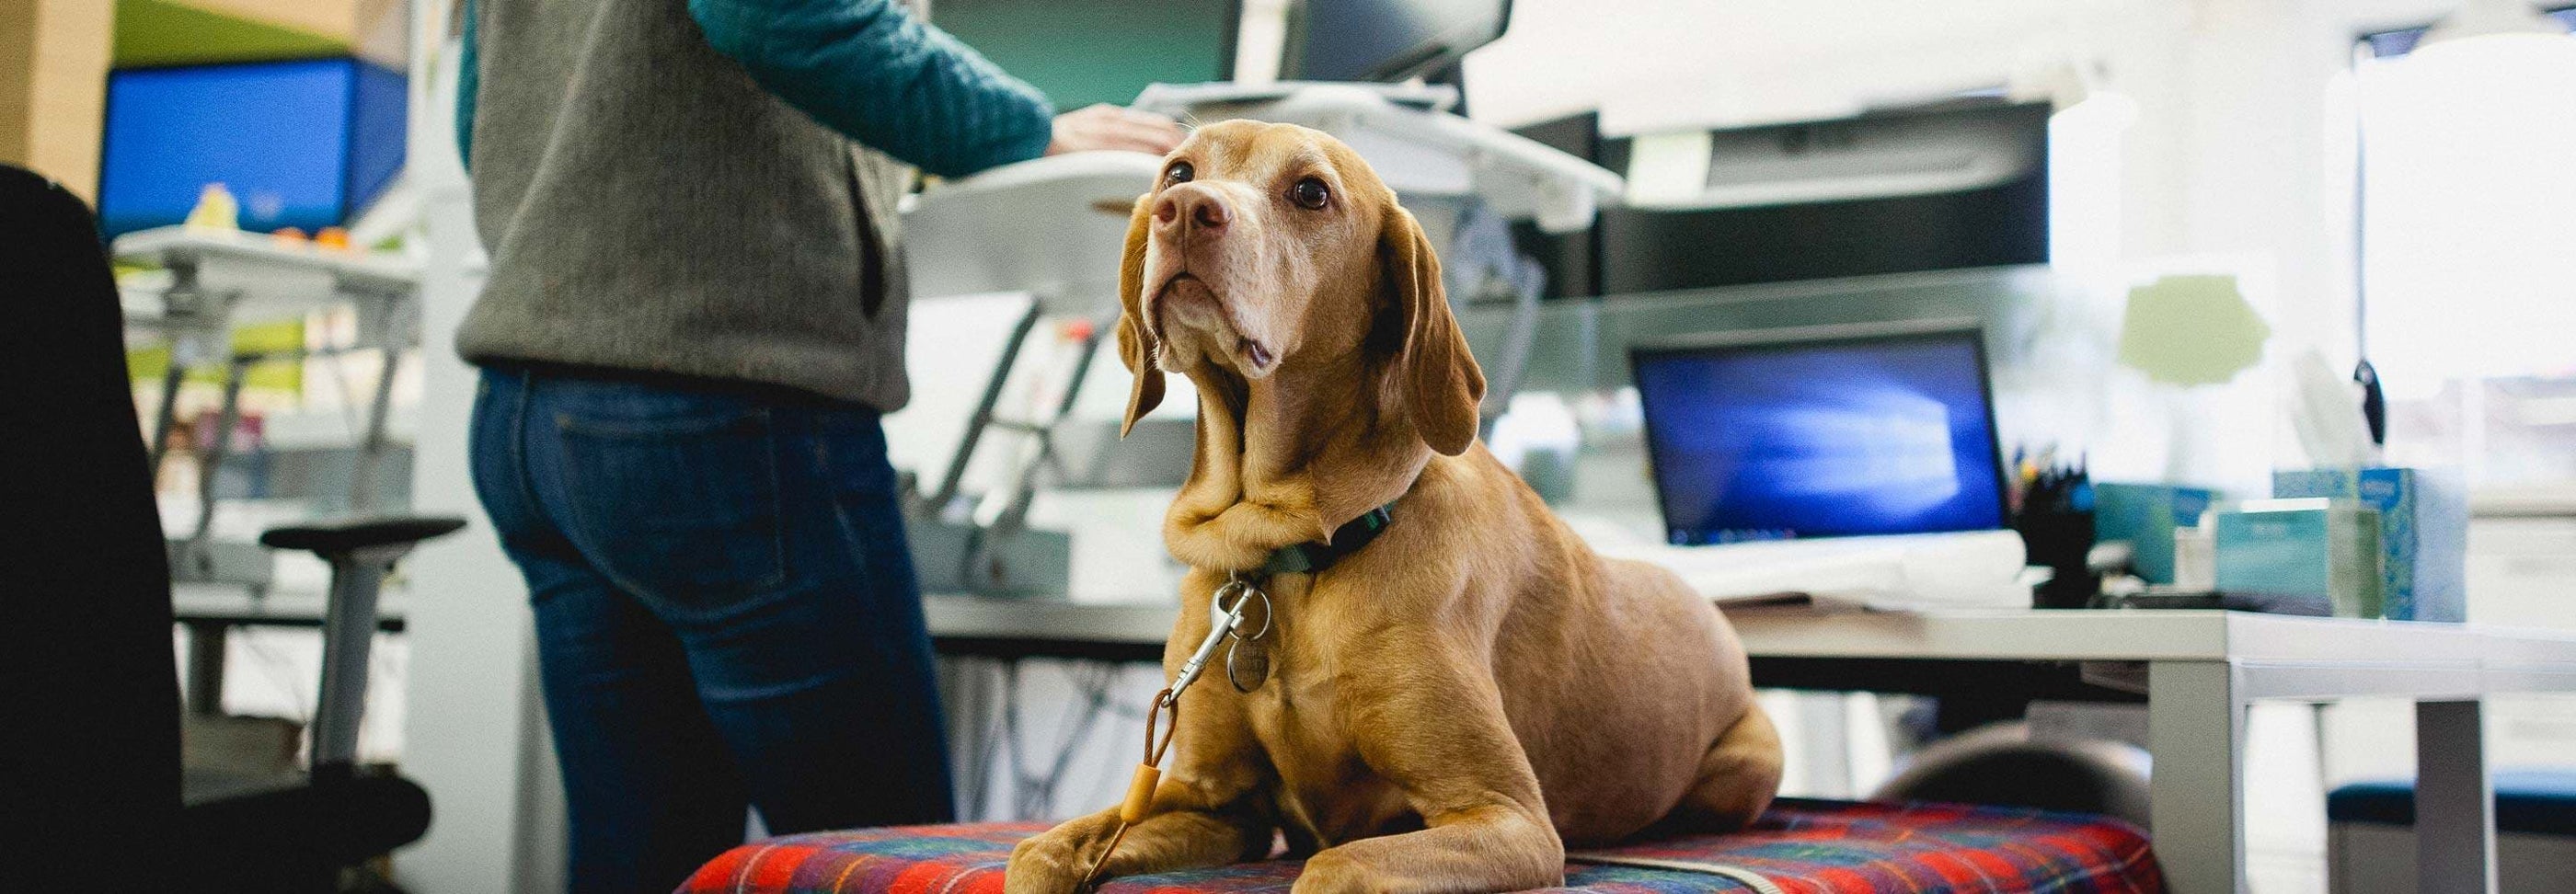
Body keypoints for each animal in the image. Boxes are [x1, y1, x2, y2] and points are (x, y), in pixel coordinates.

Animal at [999, 124, 1772, 894]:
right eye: (1178, 172)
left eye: (1311, 192)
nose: (1186, 211)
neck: (1287, 558)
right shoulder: (1217, 805)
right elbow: (1040, 850)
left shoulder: (1505, 815)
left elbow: (1335, 866)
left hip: (1749, 763)